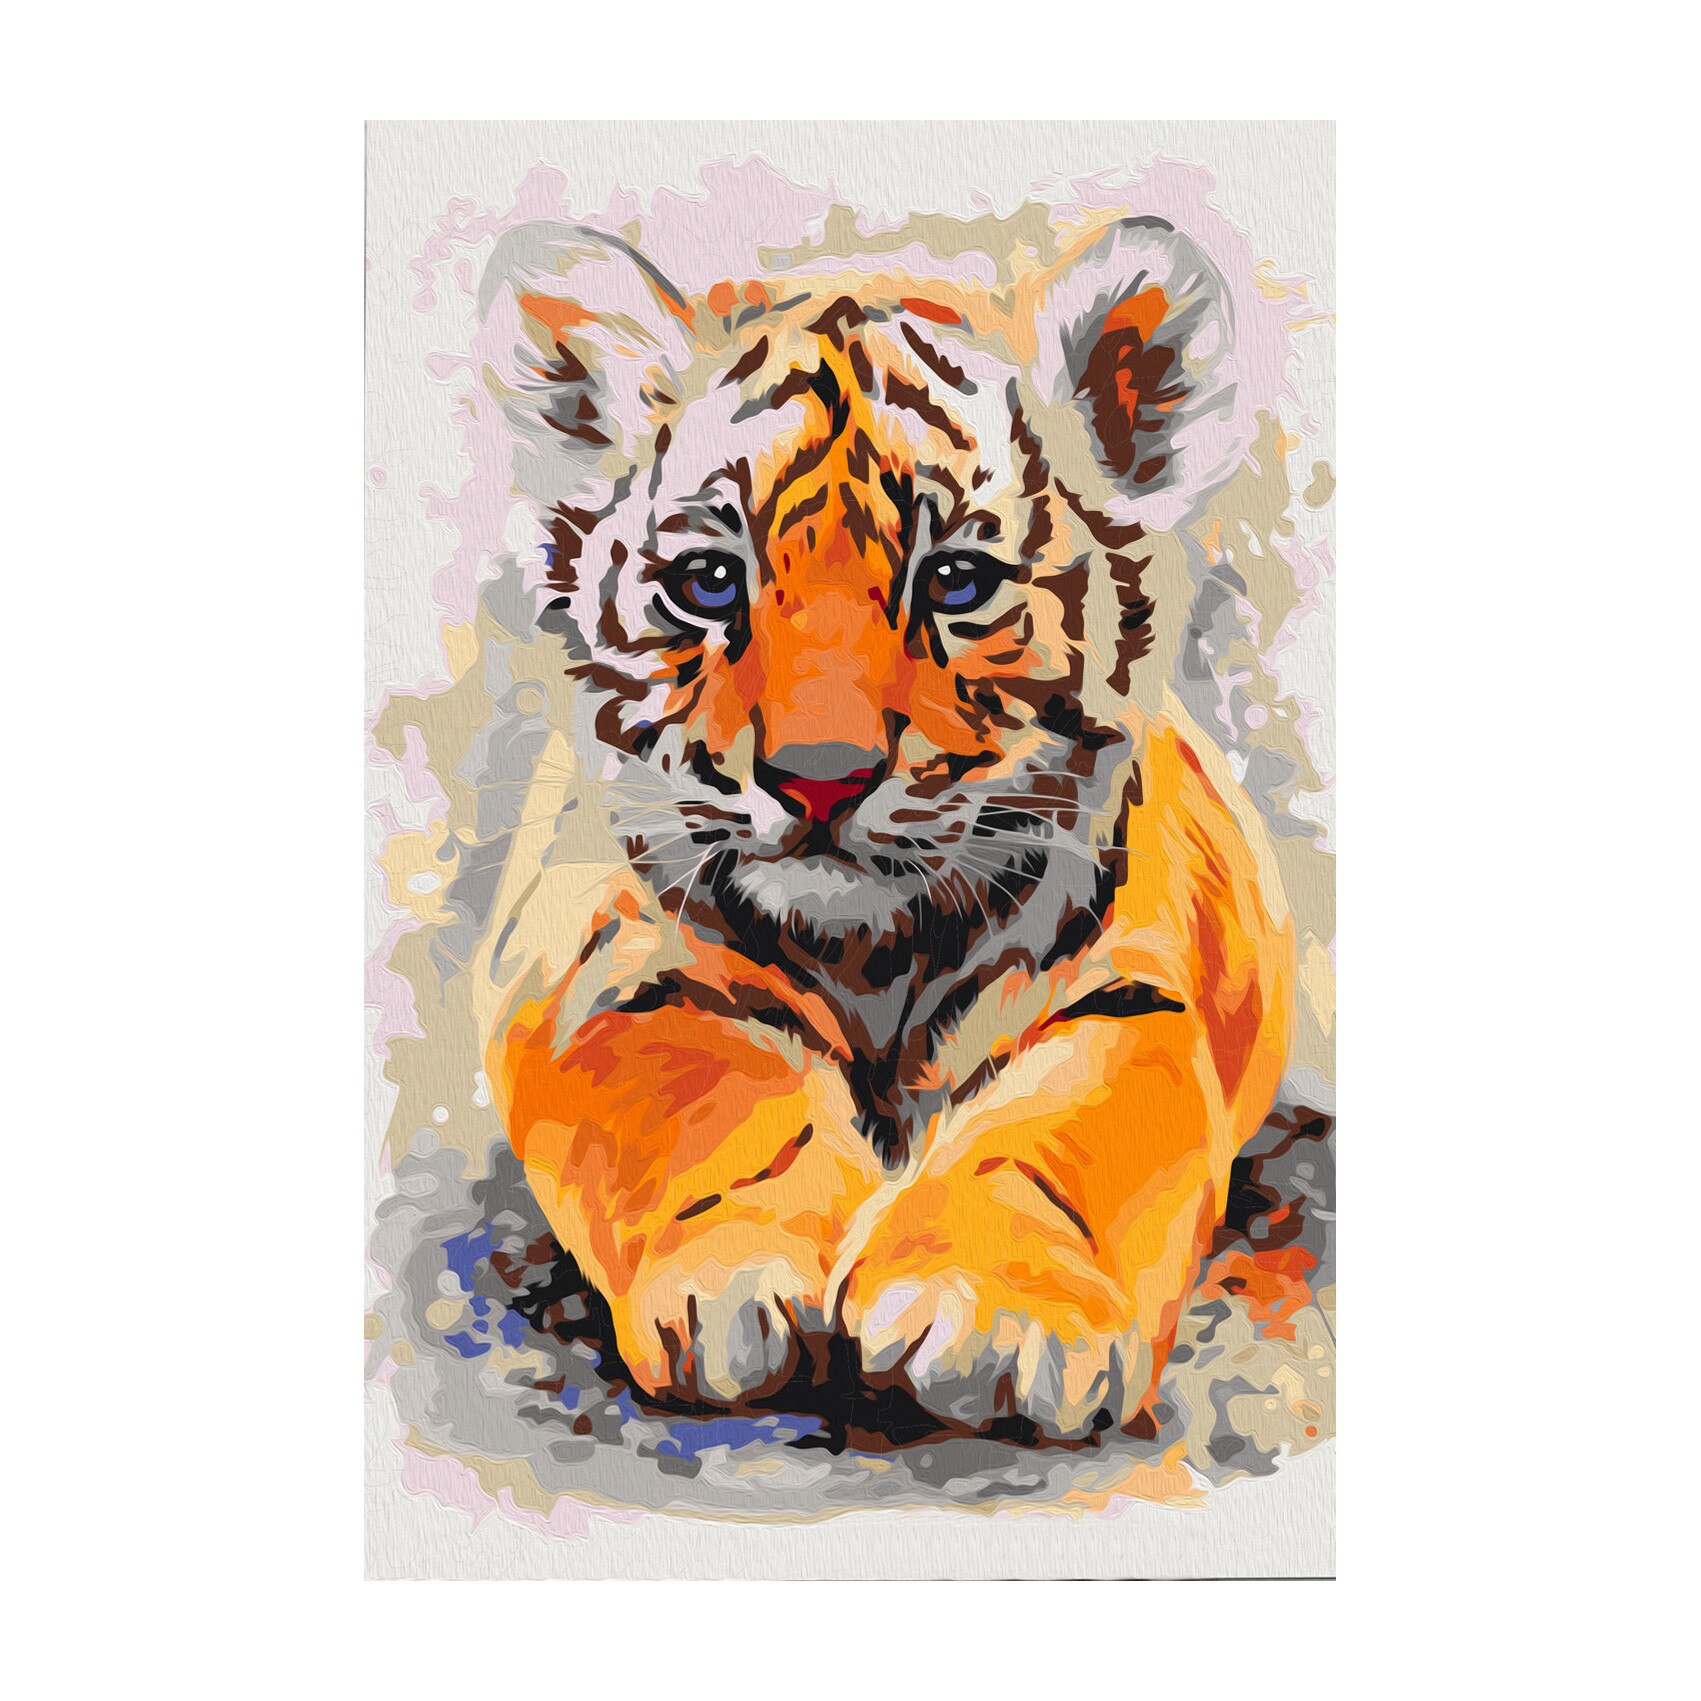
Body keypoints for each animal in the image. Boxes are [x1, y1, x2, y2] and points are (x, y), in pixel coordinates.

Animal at [473, 213, 1294, 1442]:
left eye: (954, 581)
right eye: (709, 582)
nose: (820, 781)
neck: (871, 954)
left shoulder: (1134, 986)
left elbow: (1058, 1133)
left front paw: (998, 1314)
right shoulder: (596, 962)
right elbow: (708, 1094)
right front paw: (745, 1277)